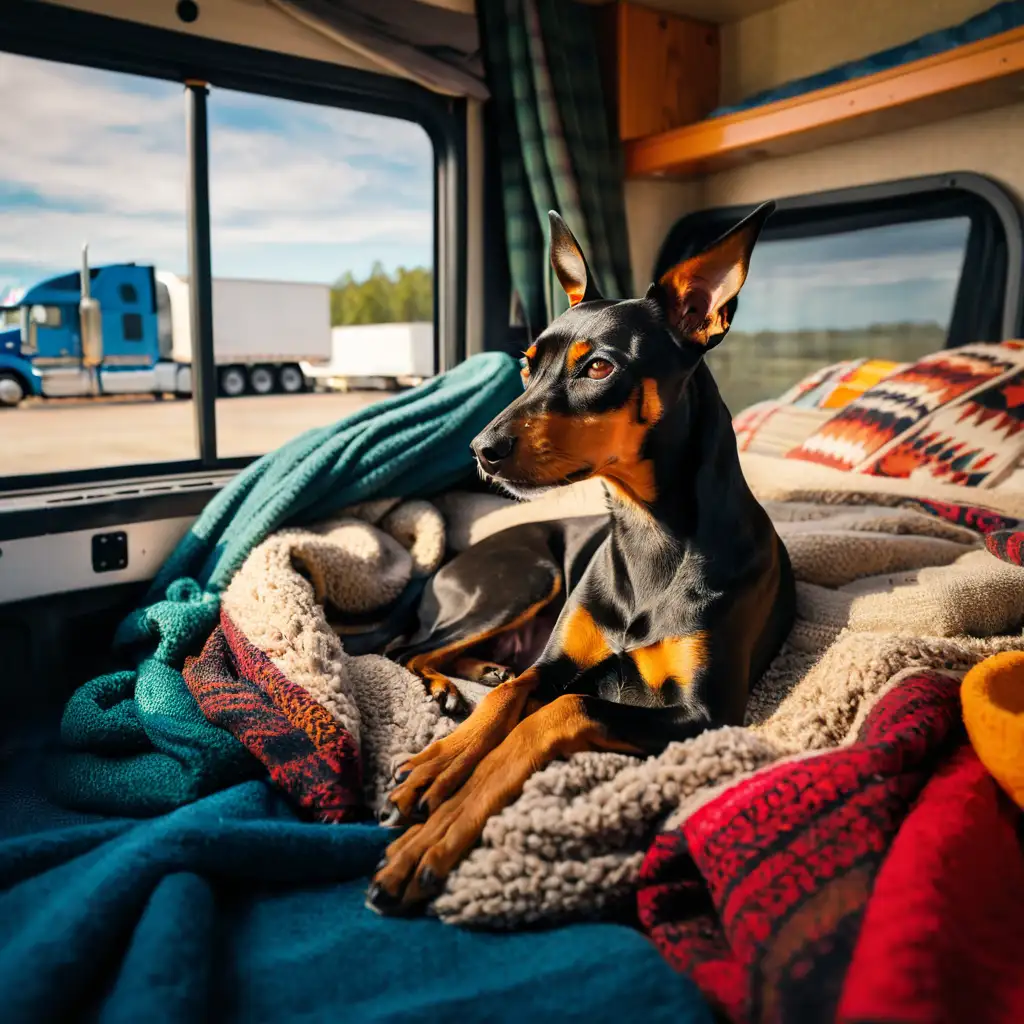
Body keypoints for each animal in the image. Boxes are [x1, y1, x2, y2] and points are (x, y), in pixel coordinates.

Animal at [364, 199, 794, 913]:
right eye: (525, 364)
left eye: (599, 368)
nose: (481, 450)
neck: (648, 534)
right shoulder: (558, 662)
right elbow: (513, 703)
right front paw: (441, 761)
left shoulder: (705, 717)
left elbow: (556, 712)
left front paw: (441, 828)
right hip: (522, 580)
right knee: (409, 649)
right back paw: (456, 688)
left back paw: (476, 674)